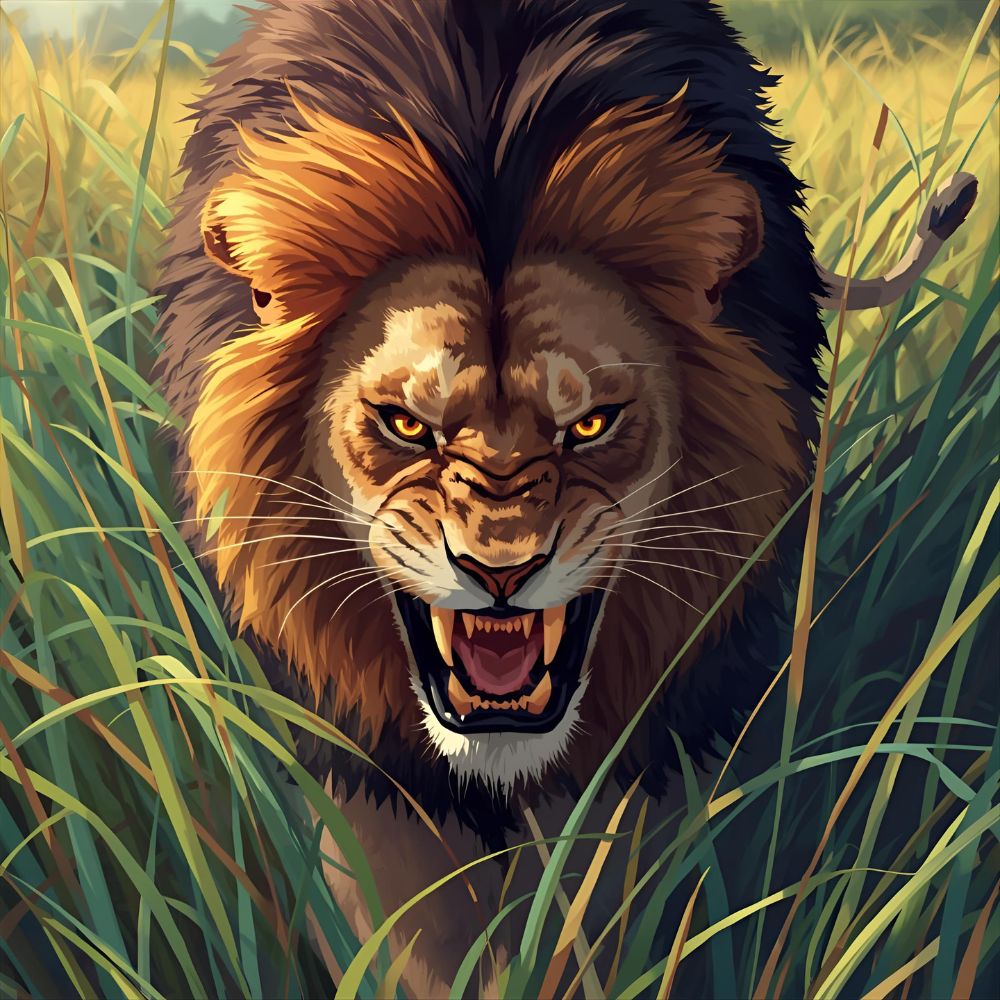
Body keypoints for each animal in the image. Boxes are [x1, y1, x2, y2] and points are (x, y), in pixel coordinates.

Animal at [154, 0, 976, 993]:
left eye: (589, 424)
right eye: (406, 425)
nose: (501, 573)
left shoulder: (652, 741)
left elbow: (601, 914)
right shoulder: (365, 766)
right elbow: (410, 933)